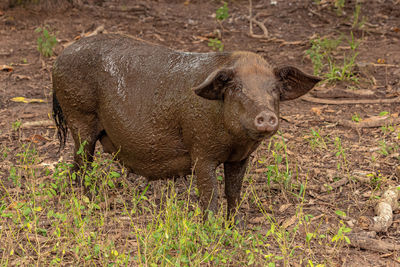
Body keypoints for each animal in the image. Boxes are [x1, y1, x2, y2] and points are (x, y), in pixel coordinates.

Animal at [52, 33, 322, 220]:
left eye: (274, 90)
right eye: (237, 88)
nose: (266, 116)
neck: (234, 142)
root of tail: (61, 56)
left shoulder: (240, 158)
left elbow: (233, 192)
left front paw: (235, 226)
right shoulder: (201, 151)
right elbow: (210, 194)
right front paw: (212, 230)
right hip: (79, 116)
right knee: (80, 163)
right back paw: (88, 200)